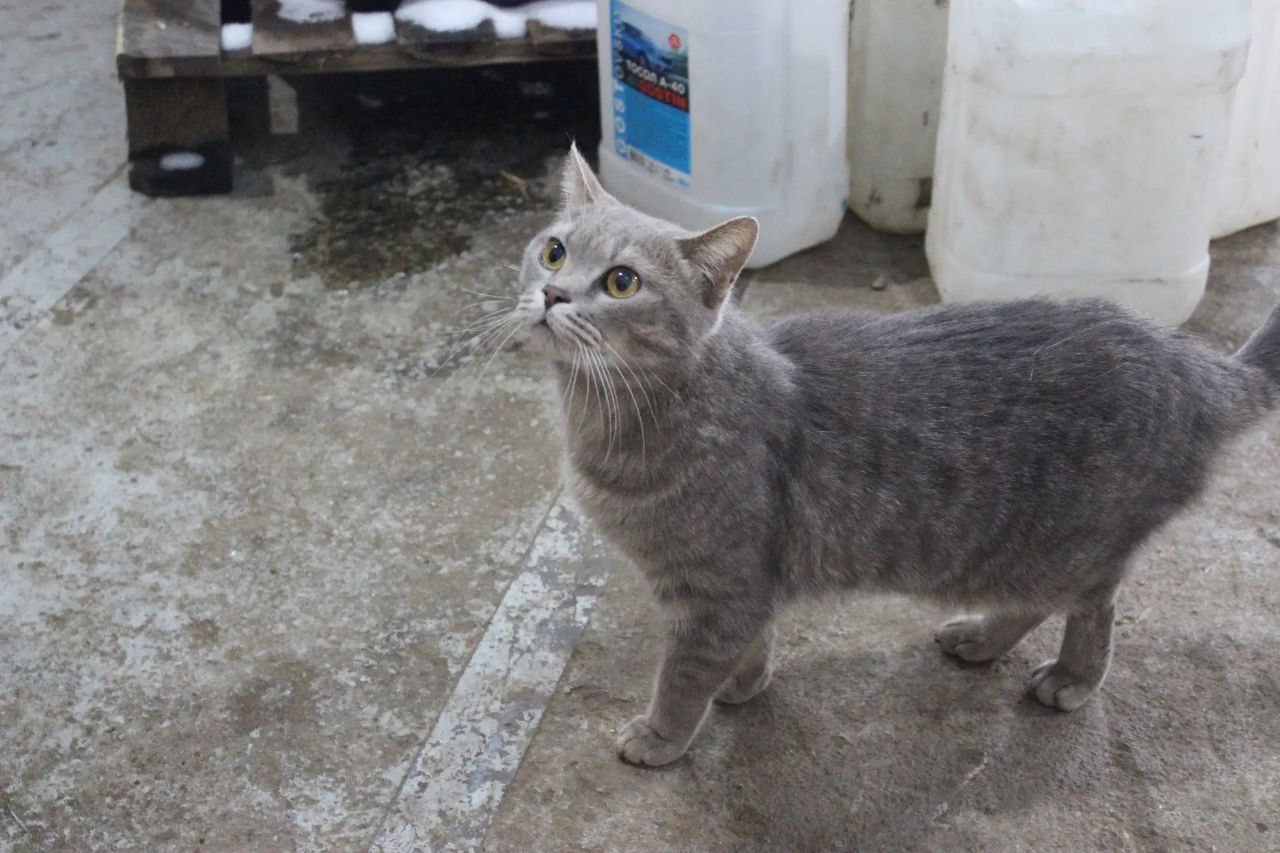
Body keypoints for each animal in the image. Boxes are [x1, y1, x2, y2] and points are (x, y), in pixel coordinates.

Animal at [504, 144, 1280, 767]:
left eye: (622, 282)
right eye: (553, 251)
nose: (552, 292)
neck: (611, 416)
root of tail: (1195, 364)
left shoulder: (719, 587)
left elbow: (683, 674)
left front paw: (662, 734)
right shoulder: (746, 587)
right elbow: (750, 644)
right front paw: (745, 686)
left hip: (1069, 541)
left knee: (1095, 605)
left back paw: (1072, 677)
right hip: (1021, 551)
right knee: (1037, 600)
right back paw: (981, 640)